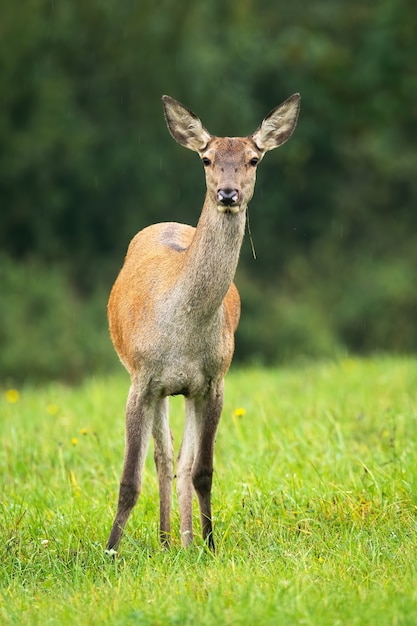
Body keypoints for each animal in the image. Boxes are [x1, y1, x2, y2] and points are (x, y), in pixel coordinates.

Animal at [104, 92, 300, 552]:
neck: (183, 335)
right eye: (206, 159)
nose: (228, 193)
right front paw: (110, 550)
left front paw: (210, 546)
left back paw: (181, 541)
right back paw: (163, 541)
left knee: (182, 460)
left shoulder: (214, 380)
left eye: (253, 159)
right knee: (162, 458)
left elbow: (203, 470)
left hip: (186, 391)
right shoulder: (141, 377)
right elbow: (129, 477)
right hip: (153, 385)